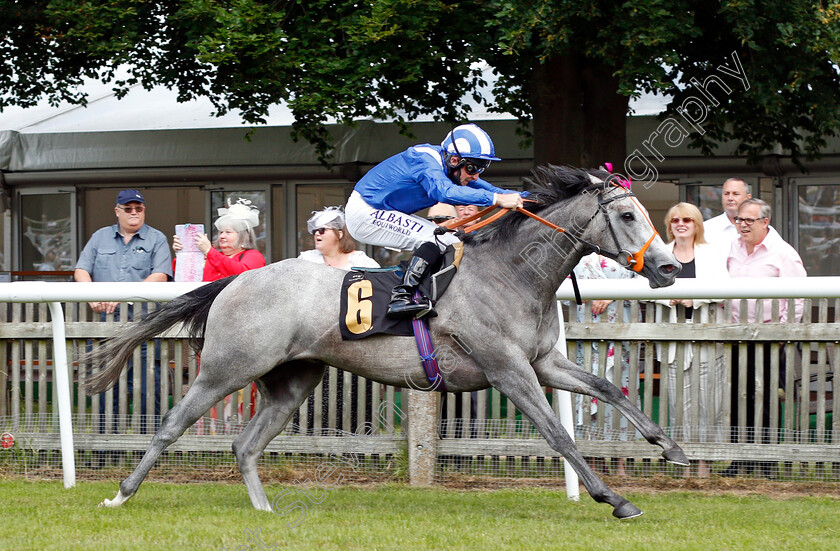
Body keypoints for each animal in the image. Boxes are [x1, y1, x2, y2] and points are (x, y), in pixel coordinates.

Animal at [85, 166, 688, 520]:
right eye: (628, 214)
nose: (669, 267)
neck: (512, 272)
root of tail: (235, 279)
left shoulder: (541, 361)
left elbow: (610, 390)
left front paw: (671, 448)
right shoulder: (507, 369)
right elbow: (559, 434)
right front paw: (615, 498)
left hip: (292, 381)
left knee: (245, 445)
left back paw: (265, 510)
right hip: (226, 370)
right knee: (172, 424)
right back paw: (120, 493)